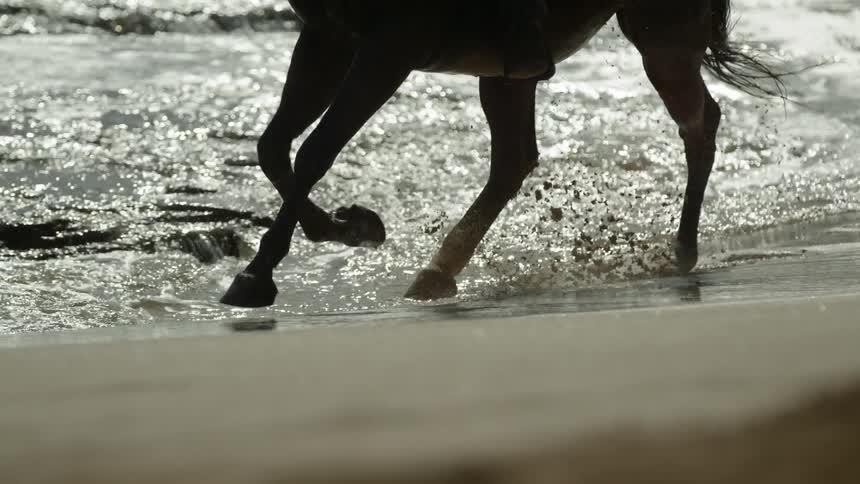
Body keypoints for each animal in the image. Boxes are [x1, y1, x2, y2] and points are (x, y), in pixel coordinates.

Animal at [219, 0, 785, 308]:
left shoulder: (390, 46)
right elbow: (274, 149)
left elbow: (314, 152)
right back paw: (438, 271)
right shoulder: (328, 34)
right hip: (508, 66)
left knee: (698, 123)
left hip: (658, 28)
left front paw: (256, 276)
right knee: (513, 159)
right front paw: (347, 227)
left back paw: (682, 249)